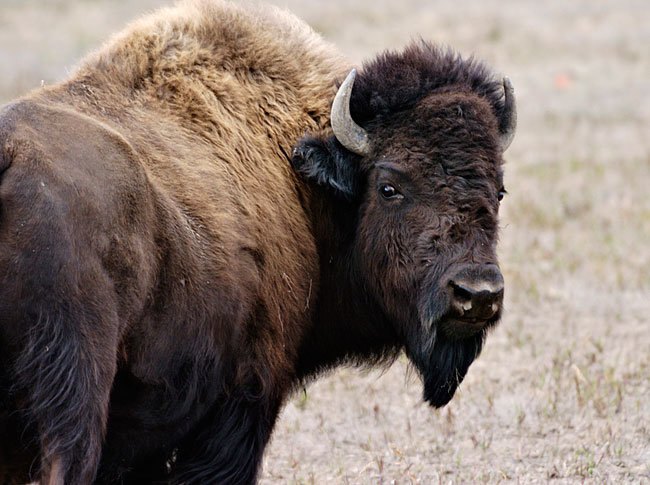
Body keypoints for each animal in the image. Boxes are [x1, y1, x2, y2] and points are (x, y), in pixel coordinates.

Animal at [0, 0, 516, 483]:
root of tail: (10, 156)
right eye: (389, 187)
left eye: (499, 190)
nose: (476, 294)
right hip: (76, 397)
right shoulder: (246, 401)